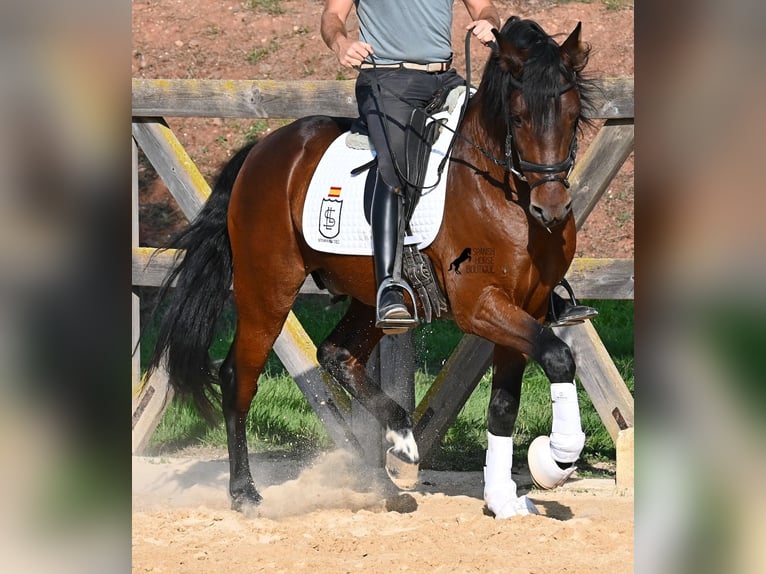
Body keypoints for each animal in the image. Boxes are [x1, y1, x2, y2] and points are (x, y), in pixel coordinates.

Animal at [146, 16, 596, 516]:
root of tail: (263, 150)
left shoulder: (527, 308)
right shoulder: (480, 306)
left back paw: (389, 462)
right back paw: (245, 491)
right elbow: (558, 357)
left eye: (573, 115)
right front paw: (556, 459)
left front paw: (502, 498)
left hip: (374, 296)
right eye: (518, 119)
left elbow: (504, 404)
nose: (551, 210)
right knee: (237, 377)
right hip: (267, 290)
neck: (501, 189)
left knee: (337, 354)